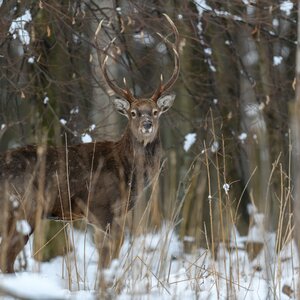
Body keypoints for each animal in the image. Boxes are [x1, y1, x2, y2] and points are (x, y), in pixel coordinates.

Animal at [0, 13, 179, 272]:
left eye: (155, 112)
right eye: (133, 113)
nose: (147, 124)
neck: (128, 172)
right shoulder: (101, 209)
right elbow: (107, 260)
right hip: (23, 207)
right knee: (7, 257)